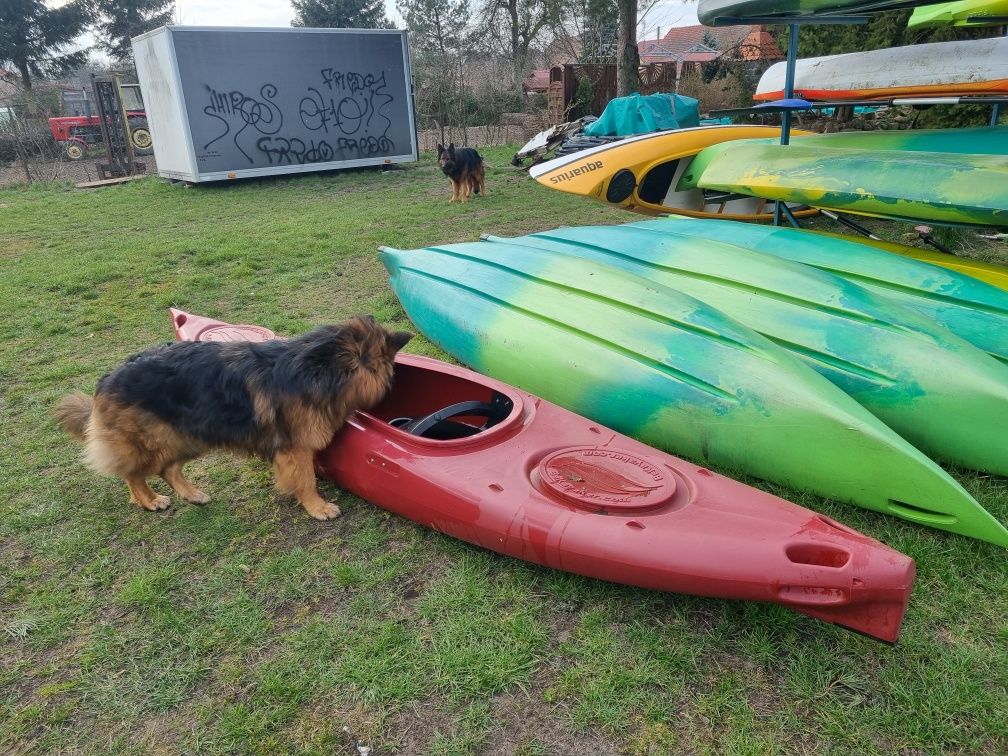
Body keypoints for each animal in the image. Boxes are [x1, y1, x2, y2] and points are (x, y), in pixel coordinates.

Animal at [57, 314, 411, 520]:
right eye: (391, 366)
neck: (319, 367)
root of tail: (107, 379)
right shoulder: (295, 449)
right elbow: (306, 479)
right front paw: (317, 507)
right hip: (153, 440)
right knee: (133, 472)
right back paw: (149, 500)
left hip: (189, 436)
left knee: (164, 469)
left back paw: (190, 495)